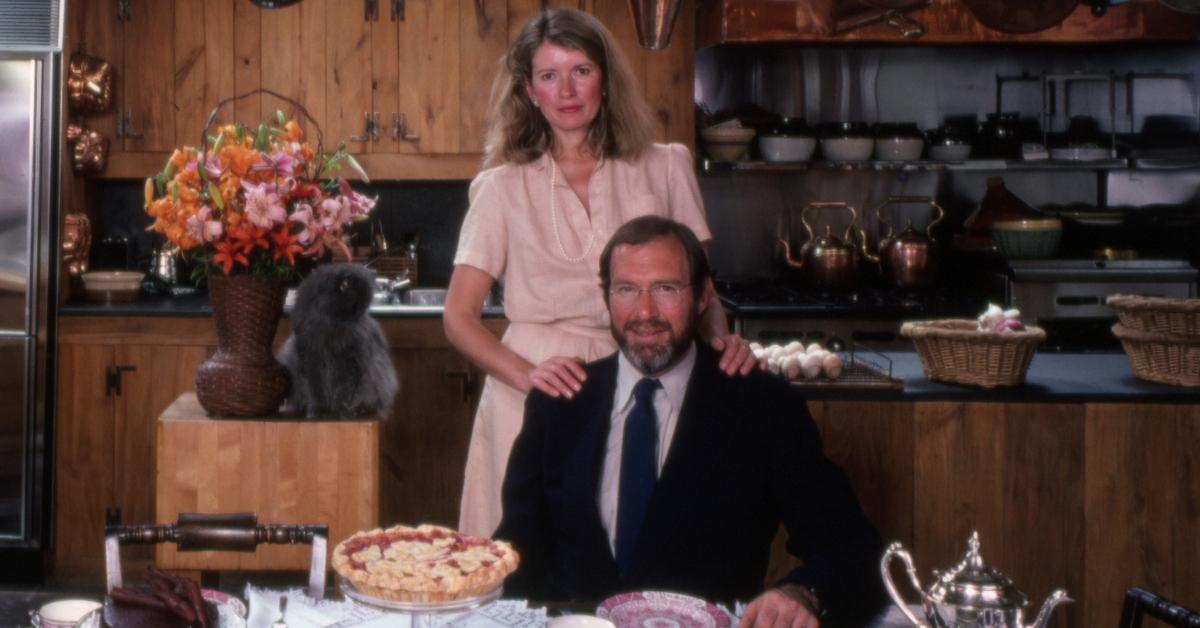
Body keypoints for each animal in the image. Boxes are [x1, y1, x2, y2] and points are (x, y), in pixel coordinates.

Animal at [277, 262, 398, 420]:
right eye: (355, 305)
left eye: (365, 305)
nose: (360, 315)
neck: (330, 328)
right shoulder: (311, 360)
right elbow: (316, 390)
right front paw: (319, 410)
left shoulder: (349, 361)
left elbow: (343, 391)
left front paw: (339, 411)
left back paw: (359, 410)